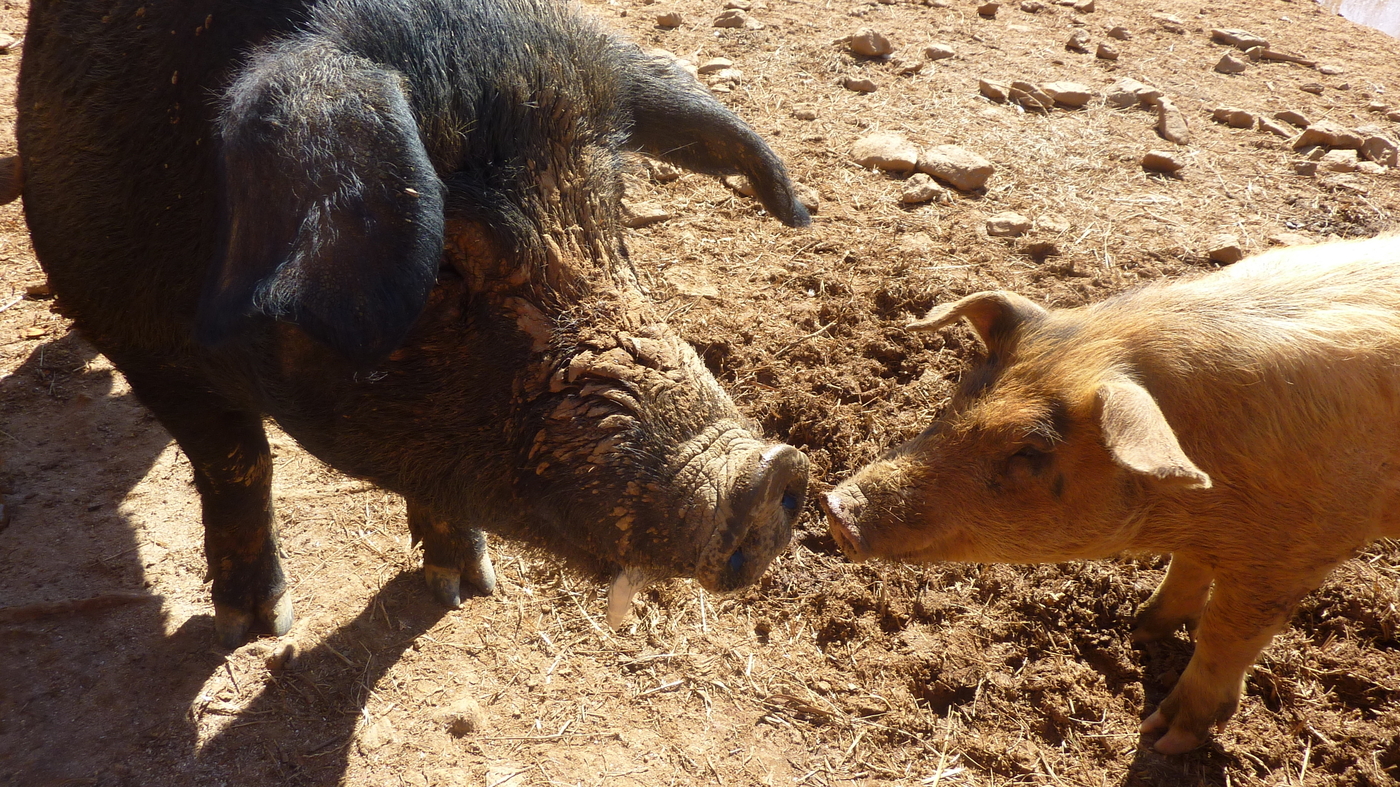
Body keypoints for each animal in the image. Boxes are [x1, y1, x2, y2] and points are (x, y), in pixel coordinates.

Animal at [18, 0, 811, 647]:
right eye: (444, 263)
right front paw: (258, 626)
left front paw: (467, 584)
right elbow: (238, 462)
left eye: (611, 210)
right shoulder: (135, 335)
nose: (770, 470)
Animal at [822, 233, 1400, 754]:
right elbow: (1187, 567)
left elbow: (1223, 636)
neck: (1202, 496)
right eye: (960, 395)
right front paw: (1138, 630)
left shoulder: (1295, 555)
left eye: (1029, 449)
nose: (836, 506)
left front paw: (1162, 739)